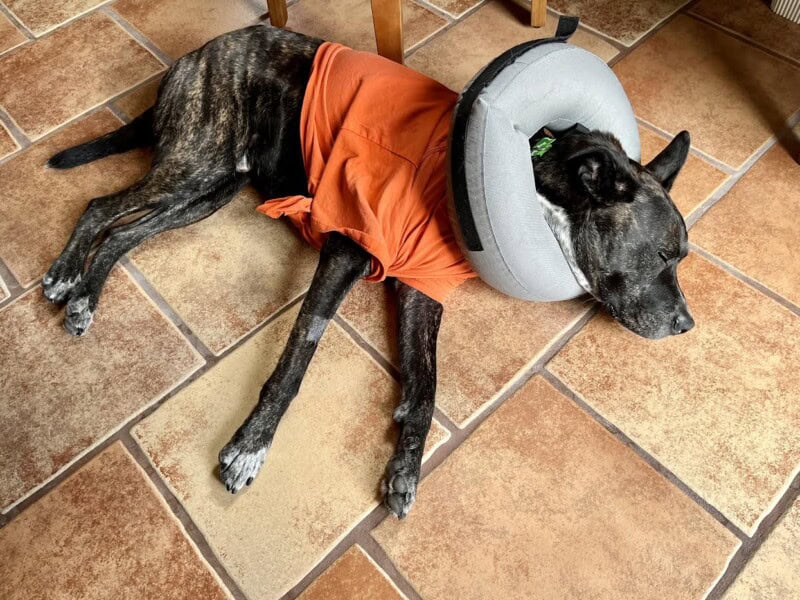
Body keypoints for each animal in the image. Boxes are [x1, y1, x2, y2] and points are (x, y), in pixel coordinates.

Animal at [43, 25, 692, 516]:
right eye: (664, 255)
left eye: (683, 258)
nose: (686, 326)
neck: (534, 178)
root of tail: (196, 54)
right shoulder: (345, 253)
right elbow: (296, 359)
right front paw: (251, 445)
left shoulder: (420, 288)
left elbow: (427, 388)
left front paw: (406, 468)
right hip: (195, 167)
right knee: (99, 207)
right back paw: (66, 278)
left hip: (210, 189)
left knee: (122, 231)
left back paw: (84, 293)